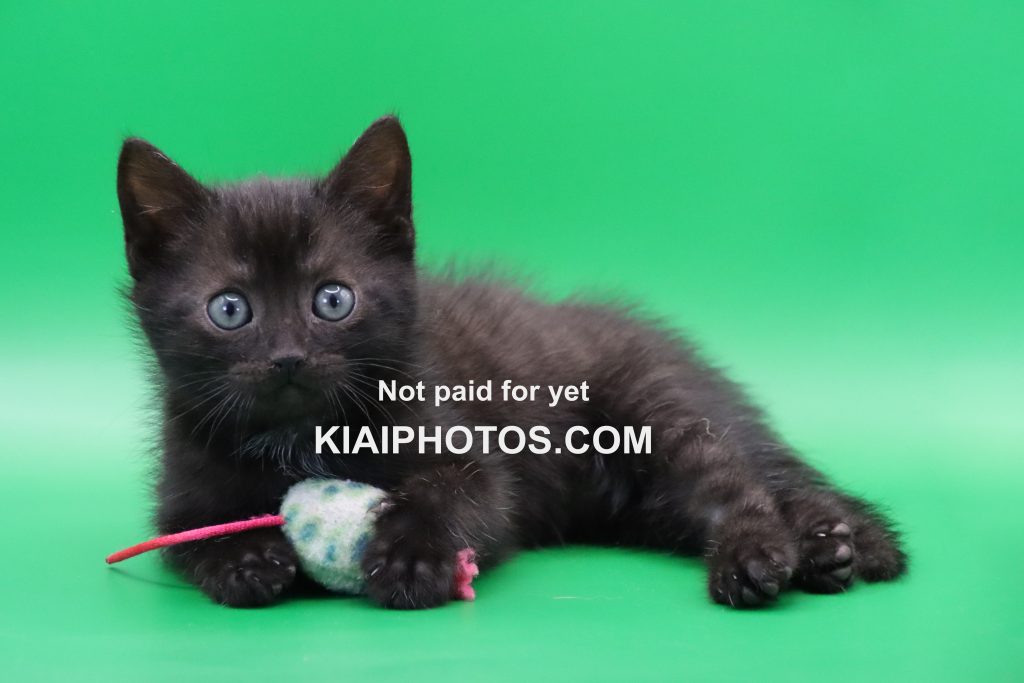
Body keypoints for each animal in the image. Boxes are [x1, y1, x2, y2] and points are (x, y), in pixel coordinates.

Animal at [116, 116, 909, 610]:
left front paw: (412, 554)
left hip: (652, 409)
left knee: (735, 483)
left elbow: (462, 497)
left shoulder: (473, 455)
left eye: (332, 299)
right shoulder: (182, 490)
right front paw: (243, 559)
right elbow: (188, 537)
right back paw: (827, 545)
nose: (287, 357)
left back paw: (774, 553)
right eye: (230, 309)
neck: (304, 440)